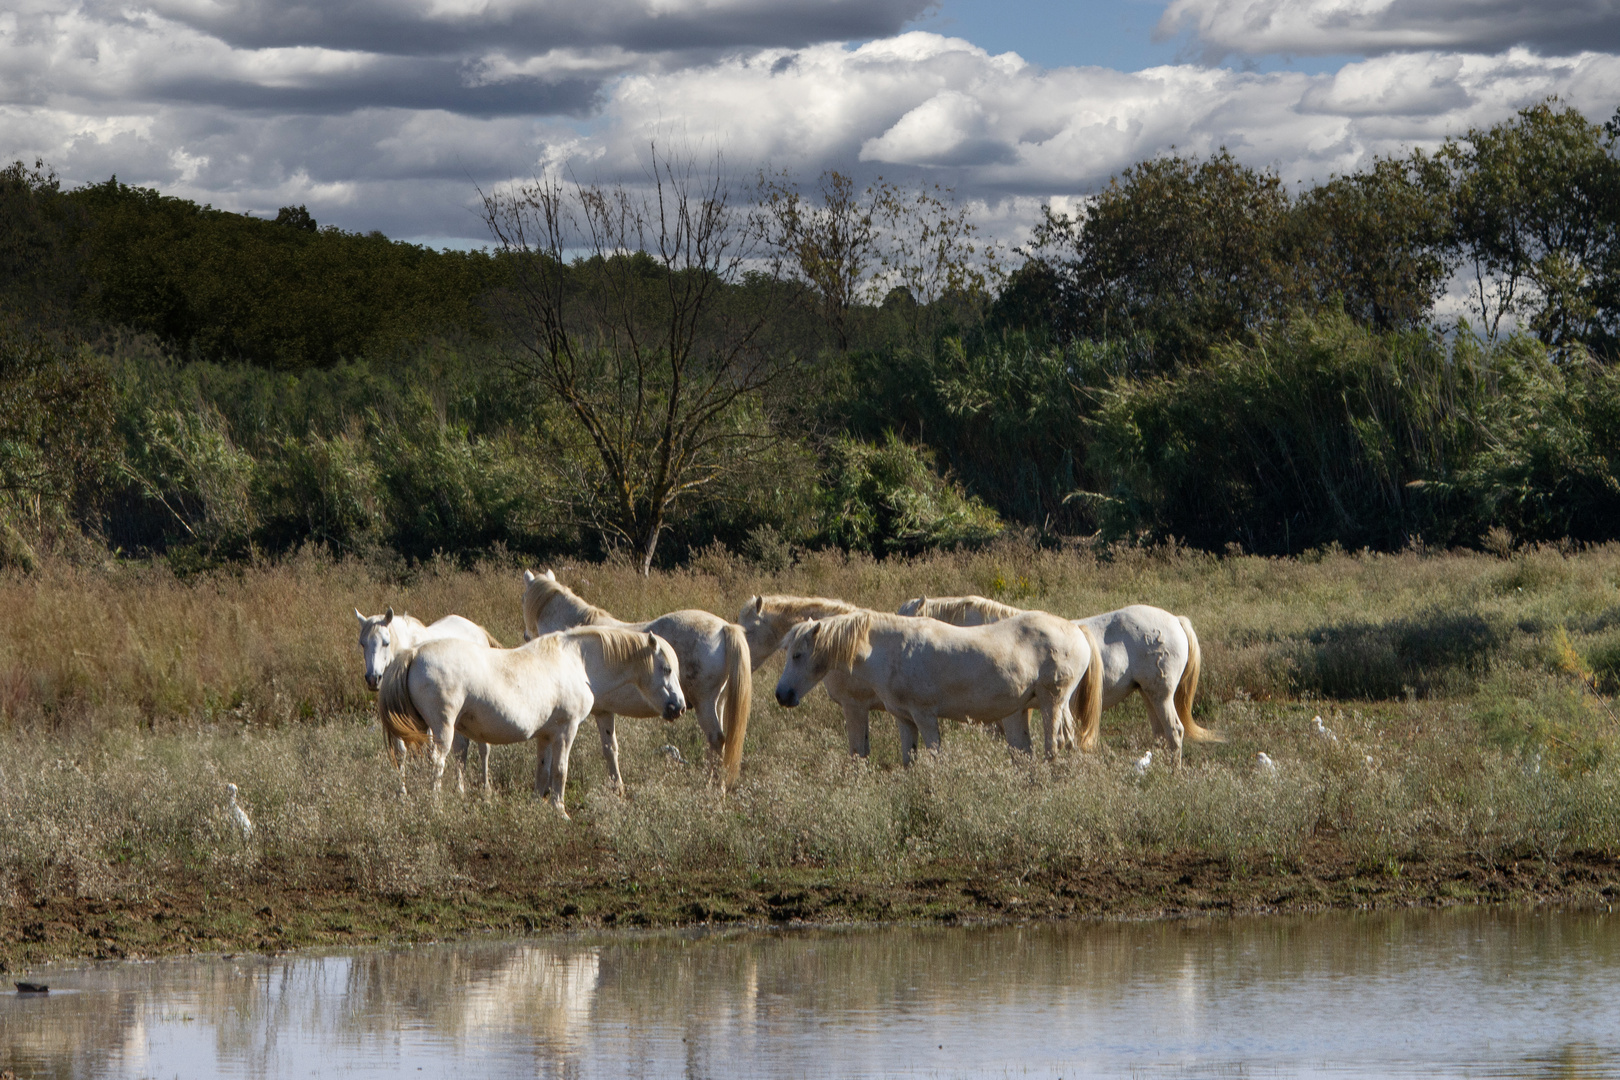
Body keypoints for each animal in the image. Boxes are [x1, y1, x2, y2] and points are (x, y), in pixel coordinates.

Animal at [358, 608, 502, 793]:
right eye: (363, 643)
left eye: (386, 642)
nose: (373, 679)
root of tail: (478, 629)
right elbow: (401, 752)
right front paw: (402, 793)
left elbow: (431, 755)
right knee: (460, 749)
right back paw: (460, 789)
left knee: (483, 749)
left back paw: (486, 789)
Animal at [377, 621, 683, 816]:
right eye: (666, 669)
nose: (678, 707)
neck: (577, 662)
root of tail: (414, 652)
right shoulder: (566, 730)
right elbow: (560, 770)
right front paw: (560, 810)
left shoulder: (545, 736)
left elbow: (543, 771)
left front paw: (538, 803)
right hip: (443, 729)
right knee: (437, 763)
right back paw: (436, 806)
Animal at [521, 569, 754, 790]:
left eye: (523, 598)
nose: (525, 637)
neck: (576, 643)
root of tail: (724, 628)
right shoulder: (604, 712)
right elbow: (611, 749)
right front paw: (618, 790)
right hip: (718, 703)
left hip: (705, 704)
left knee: (716, 740)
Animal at [771, 608, 1101, 761]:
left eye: (797, 654)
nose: (782, 695)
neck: (890, 652)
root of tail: (1075, 629)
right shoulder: (904, 719)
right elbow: (909, 760)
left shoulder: (925, 716)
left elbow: (933, 757)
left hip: (1051, 702)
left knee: (1054, 745)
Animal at [900, 595, 1218, 764]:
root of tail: (1175, 620)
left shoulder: (1013, 713)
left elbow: (1020, 750)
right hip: (1148, 695)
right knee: (1163, 736)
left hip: (1160, 695)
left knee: (1175, 732)